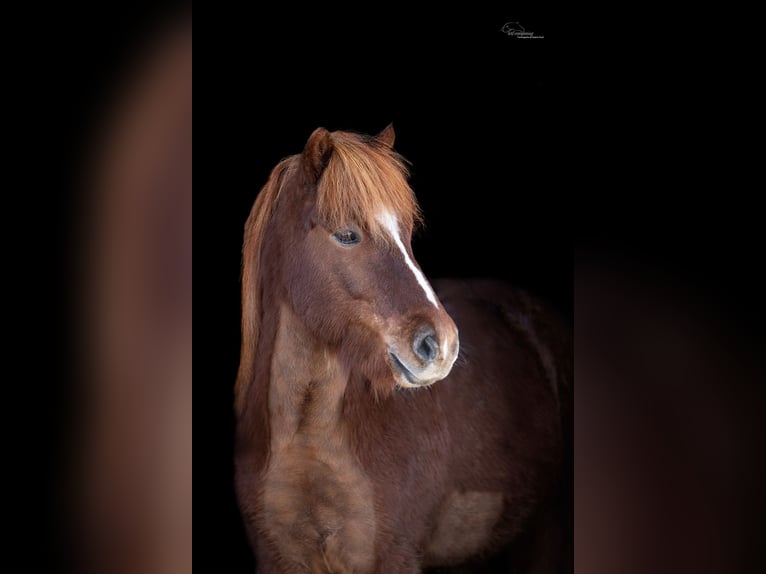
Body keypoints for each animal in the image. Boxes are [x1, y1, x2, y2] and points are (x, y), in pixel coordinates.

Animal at [237, 124, 572, 572]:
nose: (442, 344)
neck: (307, 440)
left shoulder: (394, 557)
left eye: (407, 234)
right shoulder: (277, 560)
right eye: (347, 235)